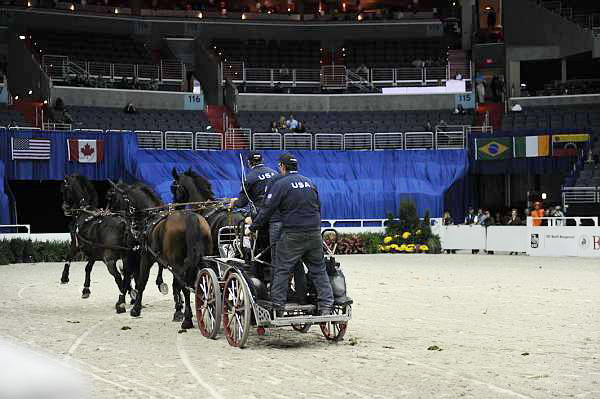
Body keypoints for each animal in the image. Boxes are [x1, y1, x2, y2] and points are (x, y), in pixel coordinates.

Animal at [60, 177, 137, 314]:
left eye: (64, 189)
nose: (65, 208)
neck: (84, 212)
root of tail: (123, 224)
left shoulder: (75, 245)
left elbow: (68, 258)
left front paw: (64, 277)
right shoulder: (94, 252)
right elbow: (88, 268)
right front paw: (86, 289)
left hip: (109, 260)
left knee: (118, 277)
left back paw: (120, 303)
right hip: (126, 258)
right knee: (126, 276)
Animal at [106, 181, 212, 328]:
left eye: (112, 197)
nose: (106, 213)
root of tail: (190, 217)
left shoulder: (146, 255)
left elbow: (142, 281)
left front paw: (136, 309)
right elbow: (174, 285)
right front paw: (178, 310)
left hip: (176, 262)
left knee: (185, 285)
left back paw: (187, 320)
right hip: (203, 258)